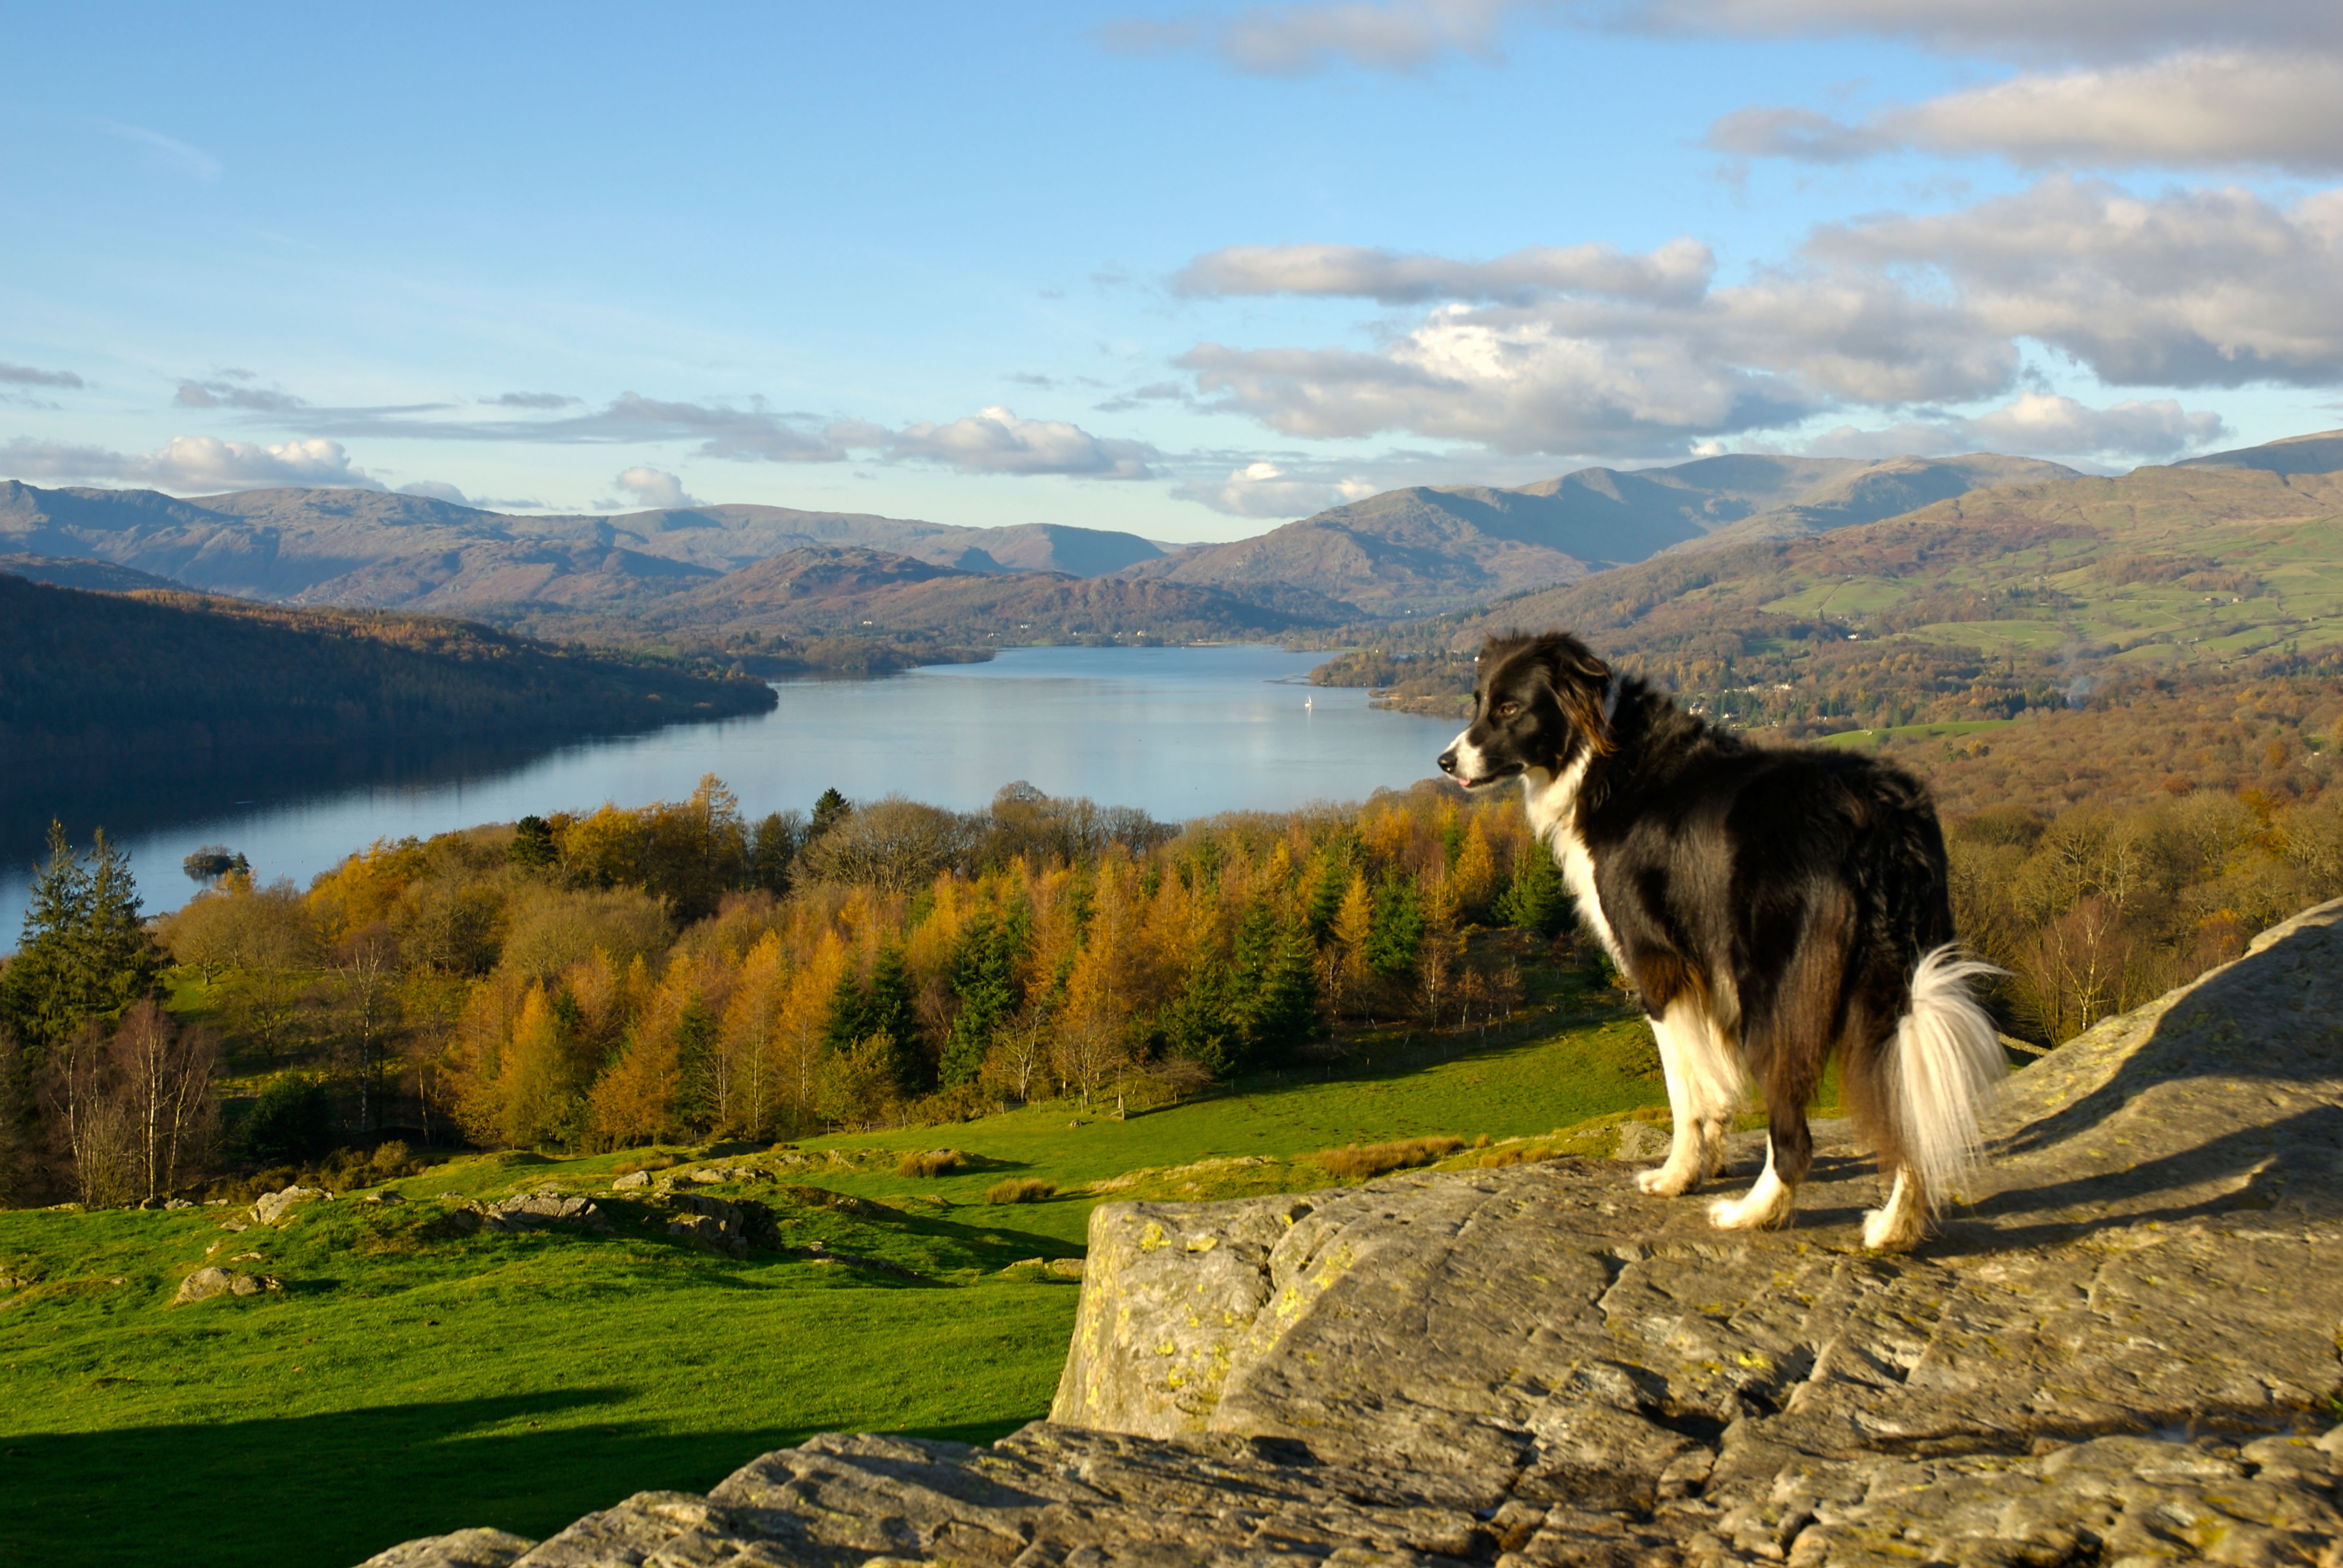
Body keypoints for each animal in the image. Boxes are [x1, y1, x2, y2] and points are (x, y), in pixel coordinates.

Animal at [1434, 628, 2006, 1247]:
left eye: (1510, 708)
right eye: (1478, 701)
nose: (1445, 760)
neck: (1598, 753)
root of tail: (1879, 814)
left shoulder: (1660, 966)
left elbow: (1688, 1090)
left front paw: (1677, 1175)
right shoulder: (1710, 976)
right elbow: (1717, 1083)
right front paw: (1712, 1160)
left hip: (1780, 995)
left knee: (1795, 1134)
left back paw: (1754, 1211)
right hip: (1894, 980)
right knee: (1905, 1108)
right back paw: (1894, 1227)